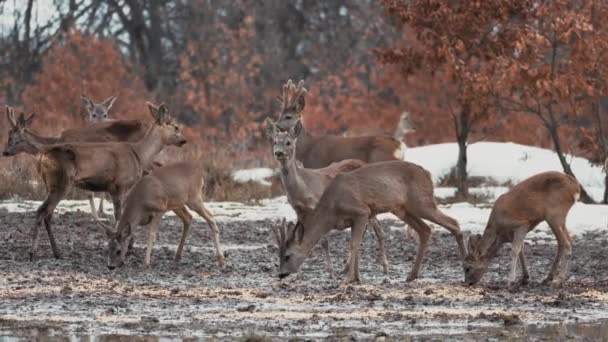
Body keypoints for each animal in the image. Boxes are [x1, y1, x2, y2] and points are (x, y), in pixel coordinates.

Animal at [2, 103, 185, 260]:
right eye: (175, 126)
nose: (183, 140)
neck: (139, 153)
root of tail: (42, 157)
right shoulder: (119, 185)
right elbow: (119, 215)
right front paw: (122, 247)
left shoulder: (119, 188)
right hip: (61, 182)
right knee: (42, 211)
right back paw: (35, 252)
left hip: (52, 184)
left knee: (46, 213)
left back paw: (54, 252)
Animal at [96, 162, 224, 270]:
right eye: (108, 248)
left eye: (118, 251)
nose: (110, 266)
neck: (139, 203)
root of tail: (201, 174)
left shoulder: (159, 210)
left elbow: (151, 234)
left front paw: (146, 263)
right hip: (176, 204)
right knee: (188, 218)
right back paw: (177, 256)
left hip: (194, 198)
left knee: (211, 218)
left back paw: (221, 260)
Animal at [266, 118, 390, 278]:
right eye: (275, 141)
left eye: (288, 142)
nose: (278, 152)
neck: (303, 188)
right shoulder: (298, 210)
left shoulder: (321, 207)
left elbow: (324, 240)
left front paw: (331, 272)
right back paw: (347, 267)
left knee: (378, 230)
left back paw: (385, 266)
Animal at [270, 160, 466, 284]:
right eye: (279, 256)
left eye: (287, 256)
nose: (281, 274)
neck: (331, 210)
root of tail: (428, 174)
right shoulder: (353, 220)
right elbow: (357, 244)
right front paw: (357, 278)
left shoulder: (361, 211)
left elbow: (354, 244)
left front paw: (348, 279)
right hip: (402, 209)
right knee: (425, 230)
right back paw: (411, 275)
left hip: (421, 202)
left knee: (453, 223)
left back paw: (466, 268)